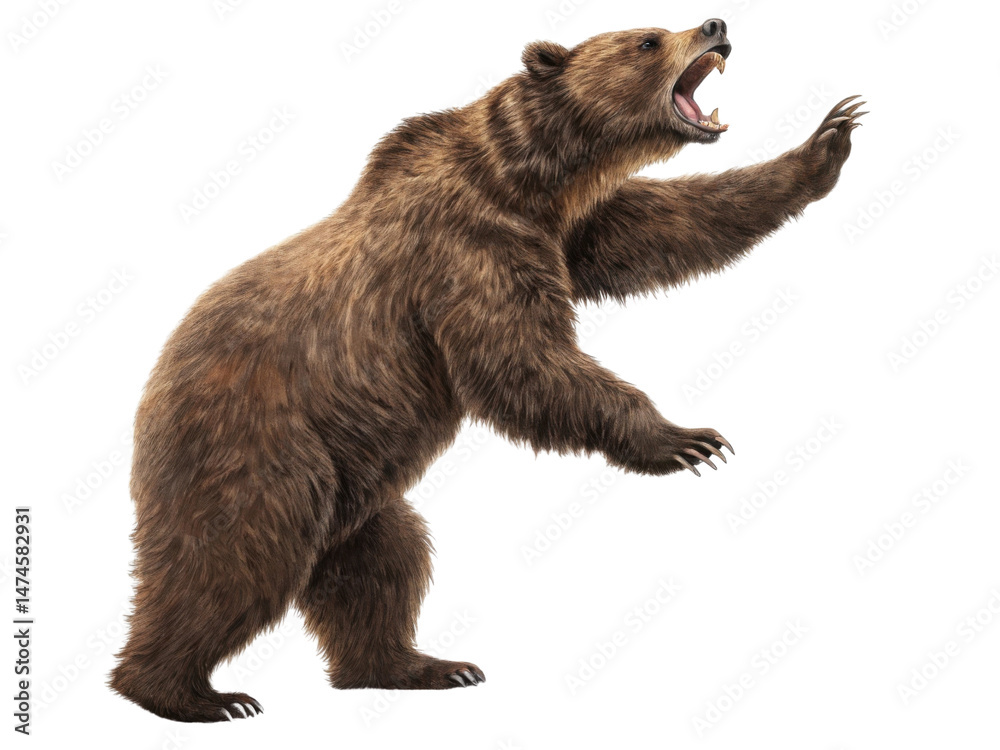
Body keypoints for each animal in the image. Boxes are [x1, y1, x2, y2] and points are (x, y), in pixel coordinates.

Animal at [110, 19, 864, 722]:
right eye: (648, 39)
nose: (714, 26)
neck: (524, 178)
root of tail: (147, 404)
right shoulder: (466, 250)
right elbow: (521, 363)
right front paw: (685, 439)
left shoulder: (569, 229)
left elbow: (670, 222)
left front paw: (827, 142)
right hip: (261, 447)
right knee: (234, 558)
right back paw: (188, 693)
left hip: (356, 492)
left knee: (385, 565)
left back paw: (420, 666)